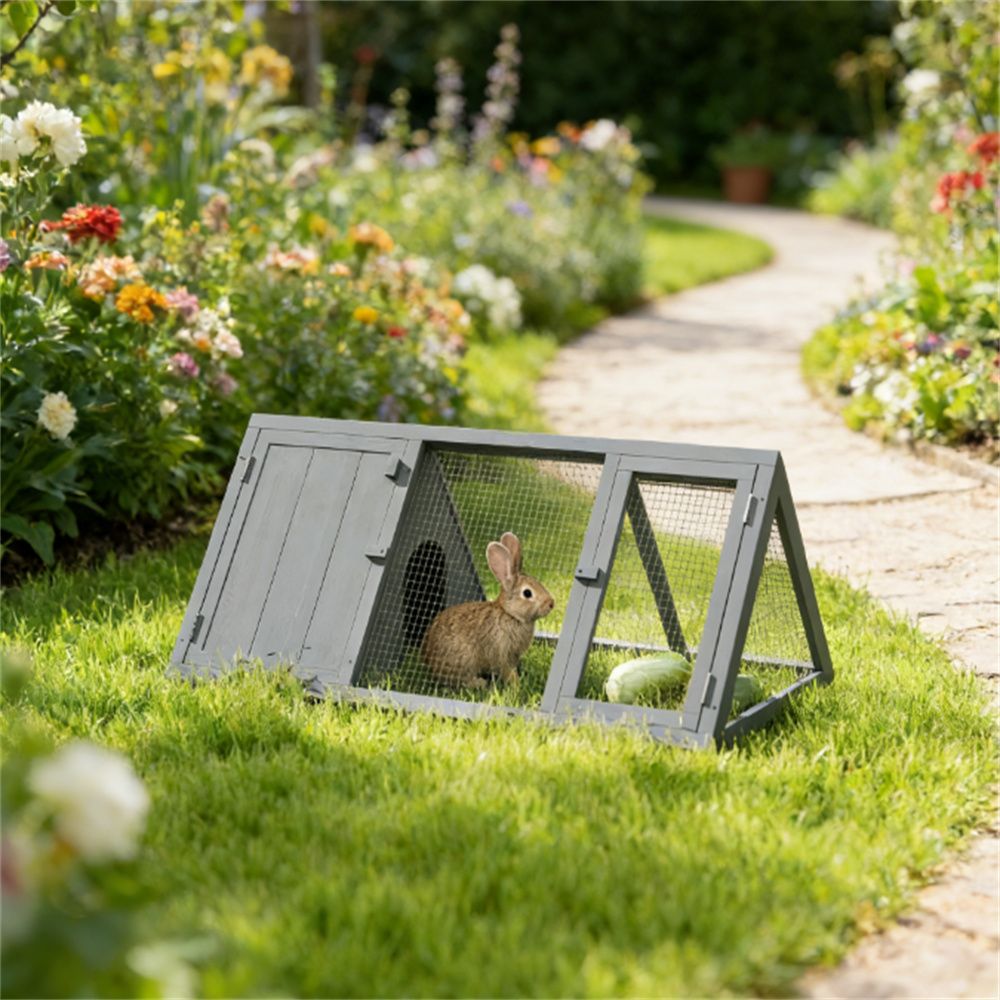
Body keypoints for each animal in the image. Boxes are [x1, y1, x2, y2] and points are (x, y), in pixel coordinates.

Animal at [421, 532, 555, 689]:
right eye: (527, 593)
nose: (551, 603)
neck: (510, 614)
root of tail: (429, 663)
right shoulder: (501, 653)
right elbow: (506, 670)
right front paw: (517, 685)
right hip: (465, 660)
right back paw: (480, 683)